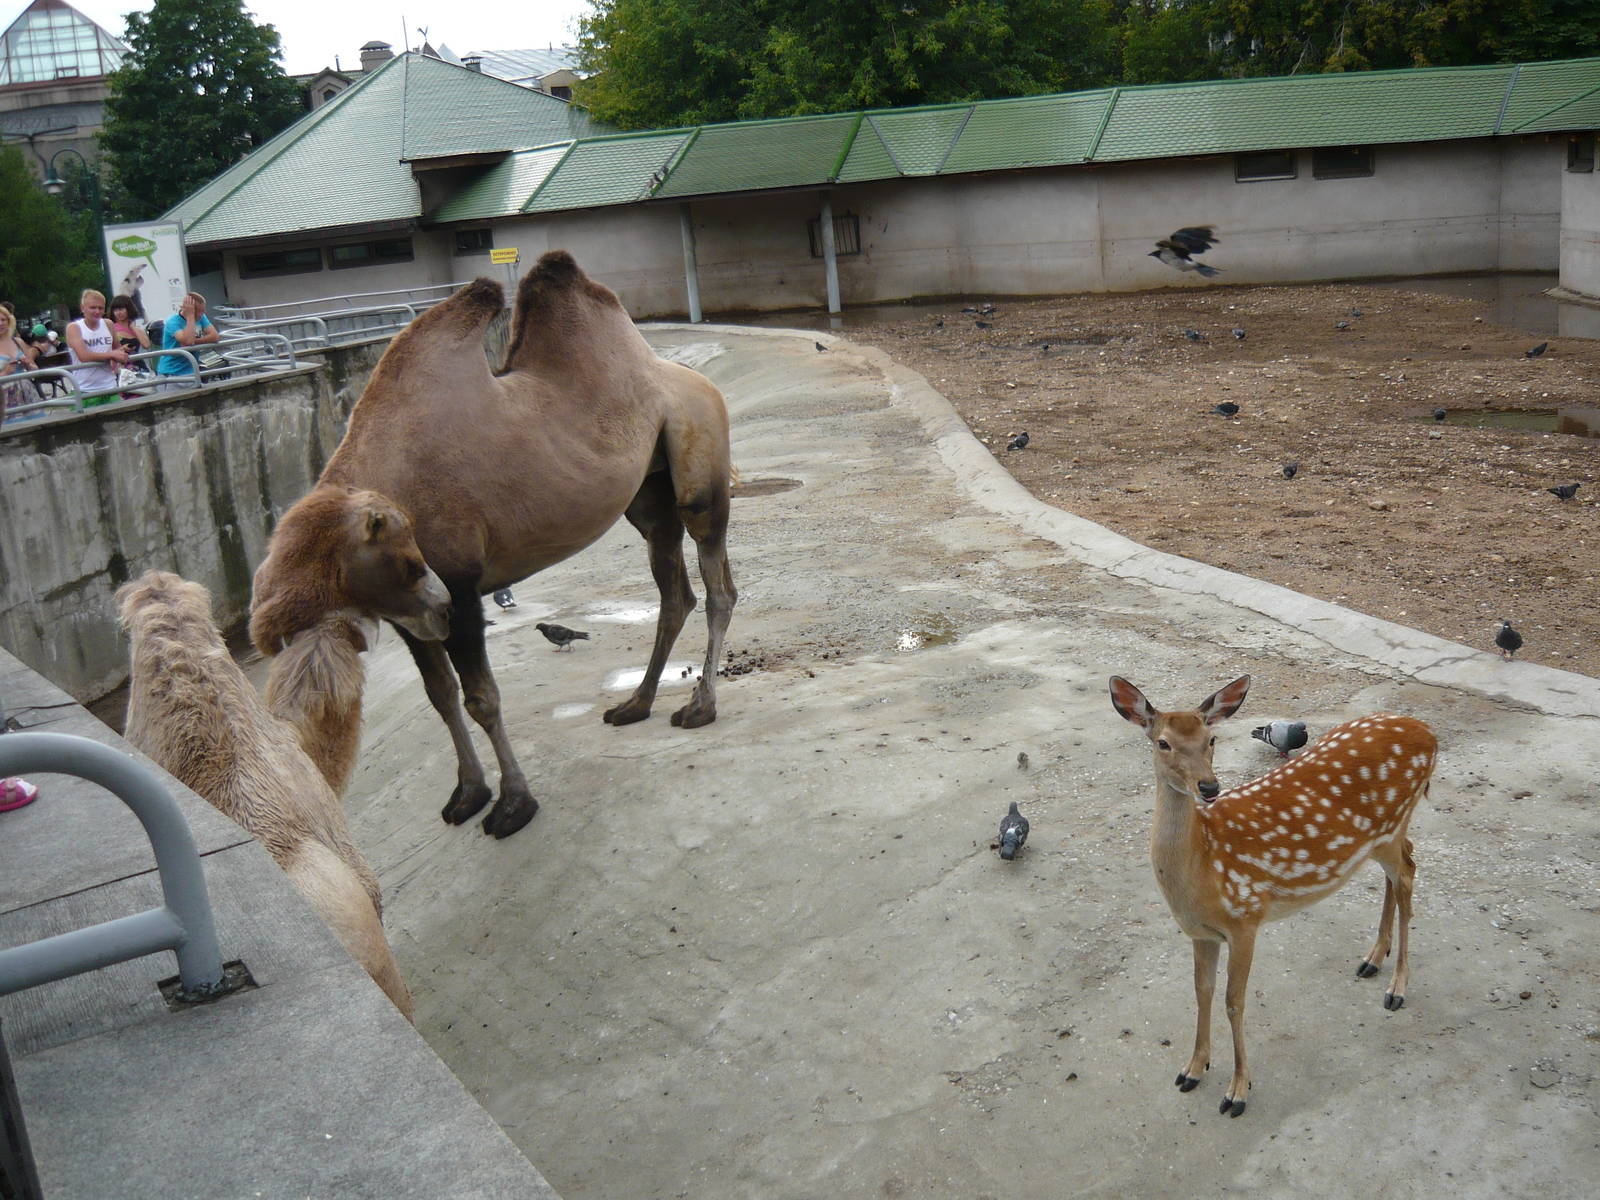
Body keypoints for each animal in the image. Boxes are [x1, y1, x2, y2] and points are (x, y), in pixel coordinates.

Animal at [250, 251, 737, 839]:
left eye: (415, 558)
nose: (436, 604)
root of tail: (695, 378)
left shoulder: (459, 587)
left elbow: (481, 698)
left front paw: (512, 805)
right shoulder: (407, 613)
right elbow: (439, 696)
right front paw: (467, 793)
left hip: (698, 456)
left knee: (717, 584)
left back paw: (700, 707)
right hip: (647, 495)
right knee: (674, 590)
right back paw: (635, 704)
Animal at [1108, 674, 1436, 1117]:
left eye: (1211, 738)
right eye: (1163, 742)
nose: (1209, 786)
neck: (1202, 868)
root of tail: (1429, 733)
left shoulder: (1246, 917)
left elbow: (1234, 1001)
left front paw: (1237, 1091)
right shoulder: (1201, 933)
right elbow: (1201, 992)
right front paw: (1193, 1068)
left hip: (1392, 824)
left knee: (1407, 875)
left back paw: (1397, 989)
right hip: (1383, 835)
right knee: (1404, 865)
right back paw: (1372, 959)